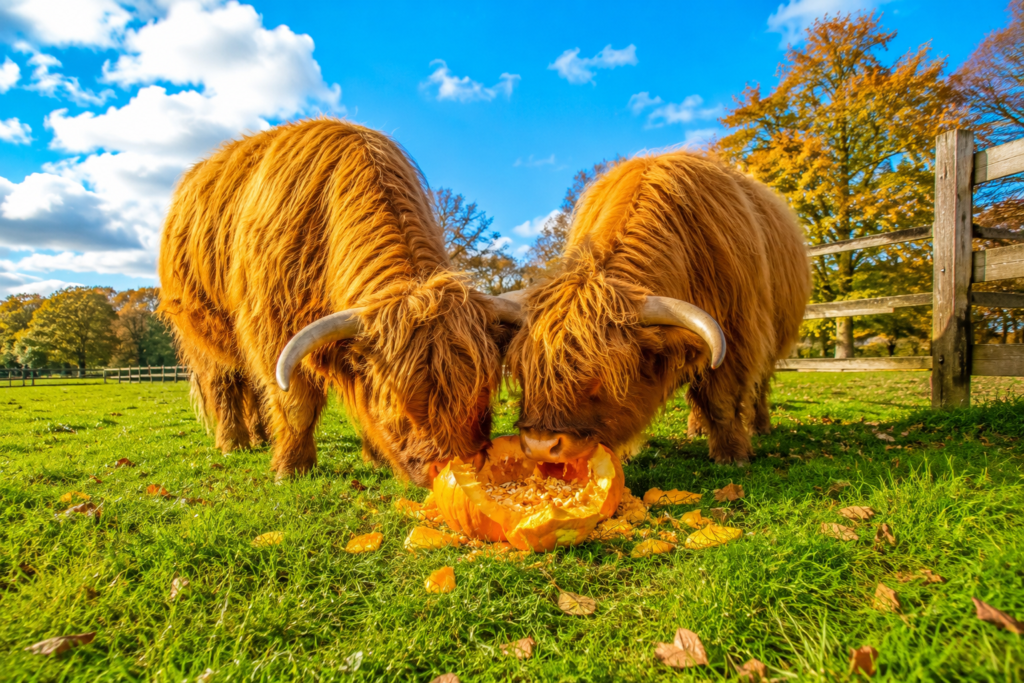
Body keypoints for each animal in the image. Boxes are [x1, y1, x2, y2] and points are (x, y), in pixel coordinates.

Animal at [158, 119, 521, 485]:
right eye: (398, 409)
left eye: (483, 400)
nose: (453, 470)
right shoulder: (272, 329)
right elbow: (296, 405)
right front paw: (290, 468)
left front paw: (376, 458)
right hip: (203, 335)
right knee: (225, 383)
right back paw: (233, 442)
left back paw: (261, 437)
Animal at [505, 150, 810, 466]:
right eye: (524, 373)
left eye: (604, 378)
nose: (541, 445)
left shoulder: (738, 335)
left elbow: (721, 399)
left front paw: (732, 454)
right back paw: (697, 428)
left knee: (759, 384)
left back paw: (759, 426)